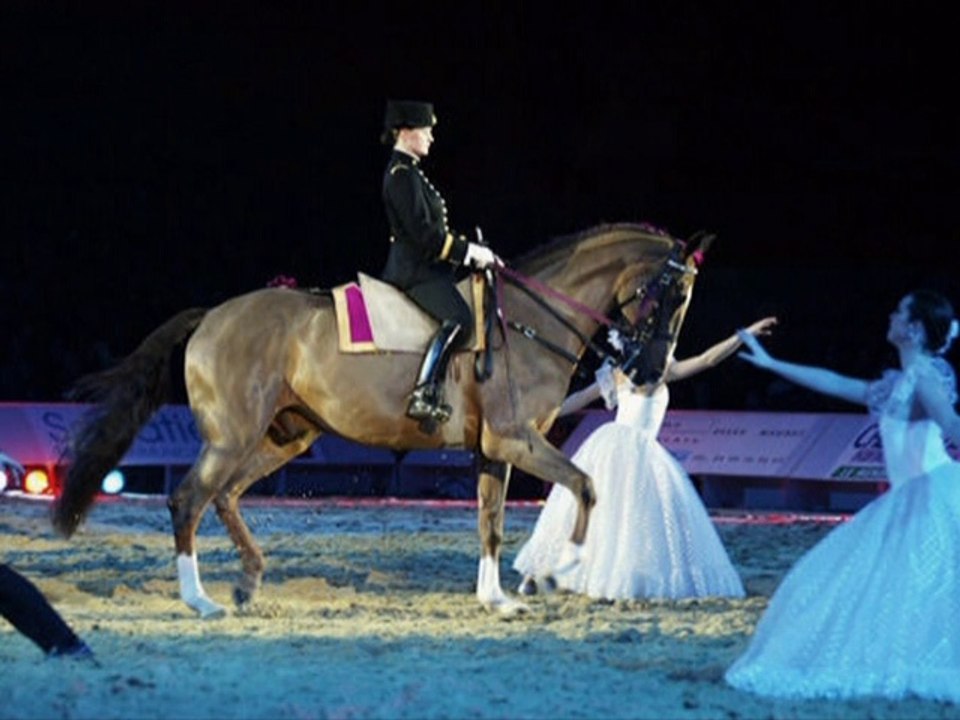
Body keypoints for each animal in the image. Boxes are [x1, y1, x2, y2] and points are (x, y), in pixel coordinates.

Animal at [53, 222, 707, 618]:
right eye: (673, 296)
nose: (649, 370)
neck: (526, 321)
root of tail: (212, 315)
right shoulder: (517, 440)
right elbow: (586, 485)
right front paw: (556, 572)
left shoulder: (494, 449)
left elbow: (491, 522)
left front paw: (495, 597)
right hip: (233, 435)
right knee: (188, 498)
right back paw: (201, 599)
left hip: (285, 435)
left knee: (226, 495)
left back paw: (248, 580)